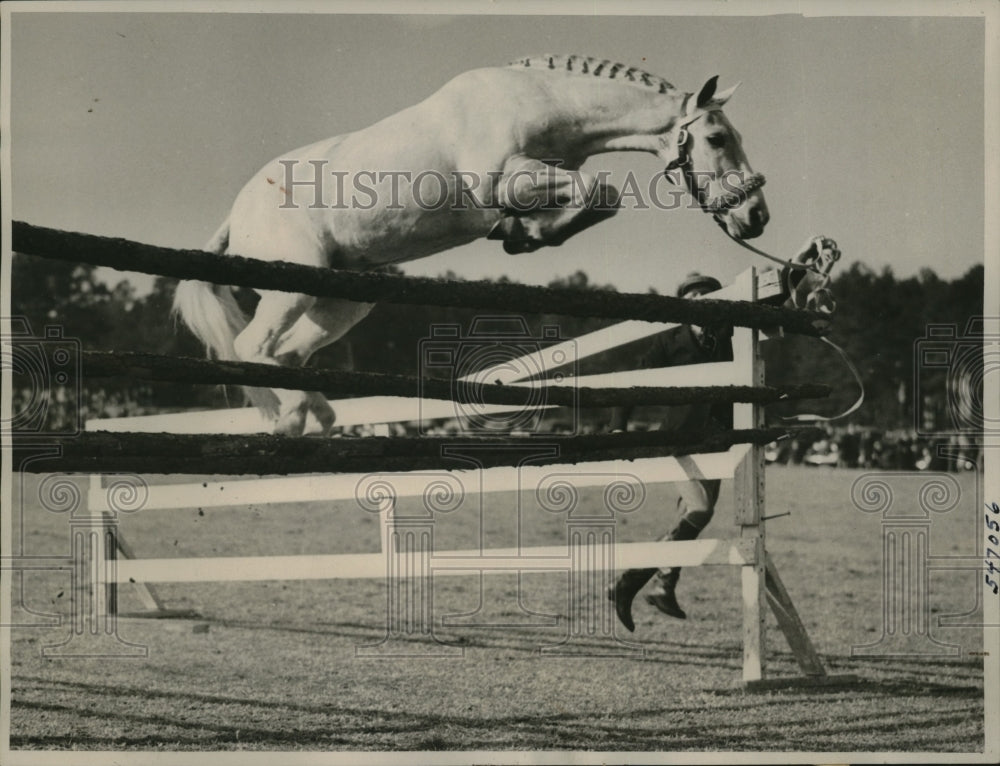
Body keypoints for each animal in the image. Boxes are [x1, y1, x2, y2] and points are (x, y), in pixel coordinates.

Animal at [174, 54, 764, 438]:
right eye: (717, 138)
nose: (756, 216)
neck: (542, 103)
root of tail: (236, 214)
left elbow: (599, 198)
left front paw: (524, 234)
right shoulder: (504, 180)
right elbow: (601, 192)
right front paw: (523, 233)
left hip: (341, 298)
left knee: (288, 354)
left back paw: (313, 415)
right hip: (290, 286)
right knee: (253, 347)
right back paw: (290, 418)